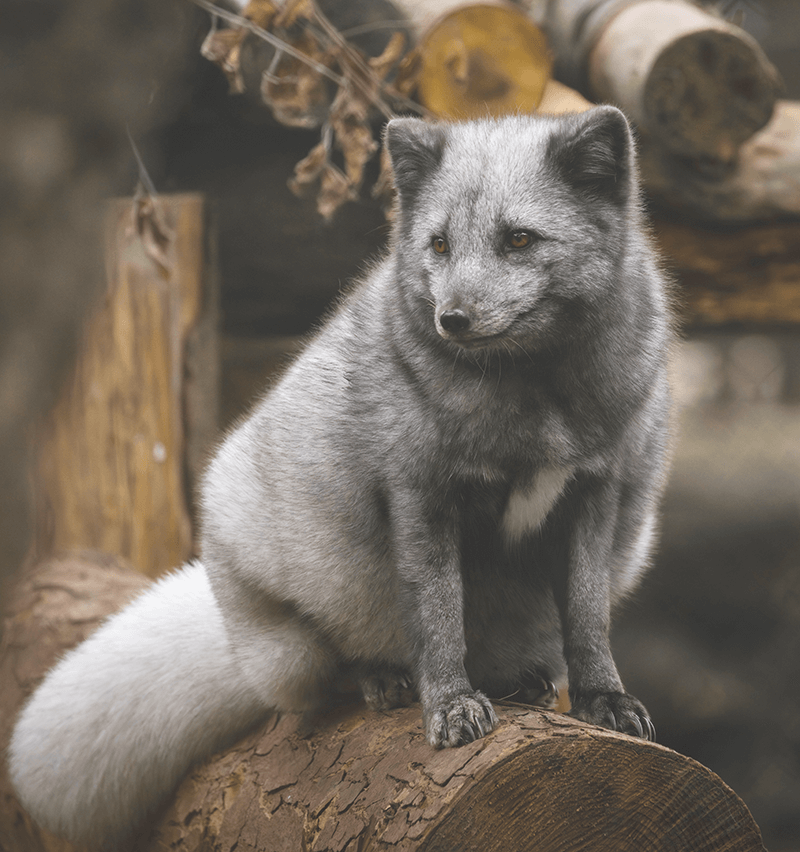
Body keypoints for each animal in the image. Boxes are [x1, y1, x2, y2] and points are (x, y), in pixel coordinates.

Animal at [9, 108, 672, 852]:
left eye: (520, 239)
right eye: (439, 244)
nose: (452, 319)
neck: (536, 403)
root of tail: (235, 636)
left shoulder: (596, 492)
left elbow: (587, 615)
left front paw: (602, 700)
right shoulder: (421, 494)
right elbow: (437, 613)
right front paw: (450, 708)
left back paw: (521, 682)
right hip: (294, 615)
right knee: (323, 679)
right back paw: (384, 680)